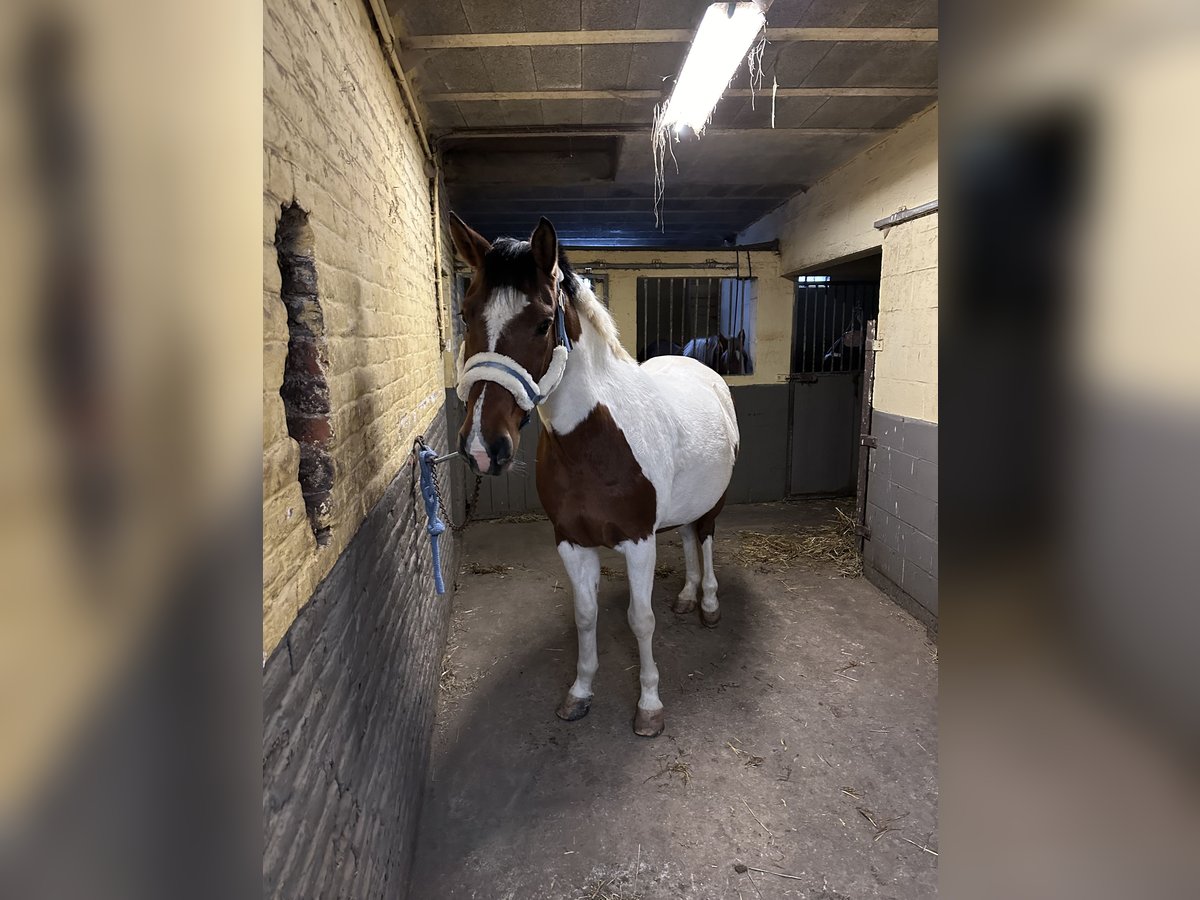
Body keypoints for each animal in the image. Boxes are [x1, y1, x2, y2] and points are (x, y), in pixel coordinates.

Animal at [448, 213, 734, 739]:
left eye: (544, 323)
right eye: (464, 314)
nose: (482, 448)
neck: (593, 443)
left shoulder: (640, 541)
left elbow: (641, 620)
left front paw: (649, 706)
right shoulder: (571, 542)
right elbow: (585, 616)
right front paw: (579, 693)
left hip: (713, 503)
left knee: (703, 540)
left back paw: (707, 604)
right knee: (687, 537)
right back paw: (686, 597)